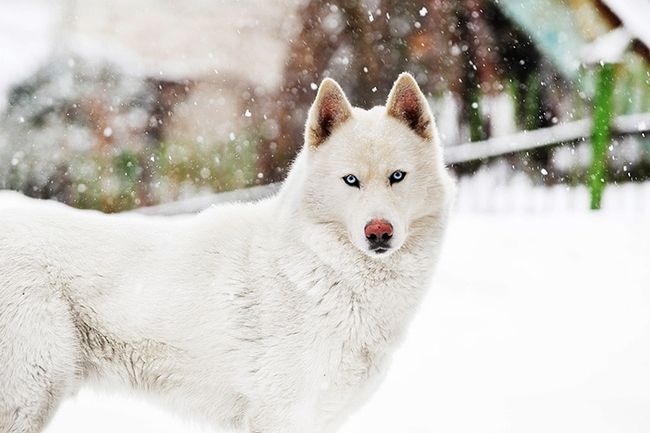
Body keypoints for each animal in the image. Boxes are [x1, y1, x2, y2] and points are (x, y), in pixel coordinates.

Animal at [0, 74, 450, 432]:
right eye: (351, 180)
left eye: (397, 177)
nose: (379, 233)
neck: (320, 269)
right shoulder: (280, 415)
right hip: (31, 393)